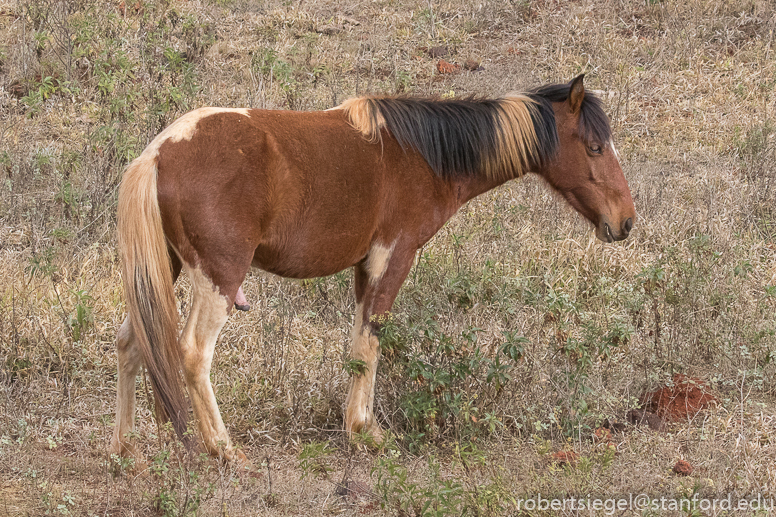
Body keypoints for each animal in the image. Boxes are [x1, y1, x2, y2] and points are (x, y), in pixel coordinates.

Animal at [110, 73, 636, 464]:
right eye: (594, 147)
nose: (625, 221)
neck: (421, 154)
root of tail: (157, 154)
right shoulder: (393, 258)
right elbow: (370, 342)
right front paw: (365, 431)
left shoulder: (365, 269)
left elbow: (359, 343)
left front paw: (358, 423)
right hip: (218, 278)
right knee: (193, 353)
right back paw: (224, 450)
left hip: (163, 272)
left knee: (132, 343)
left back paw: (125, 448)